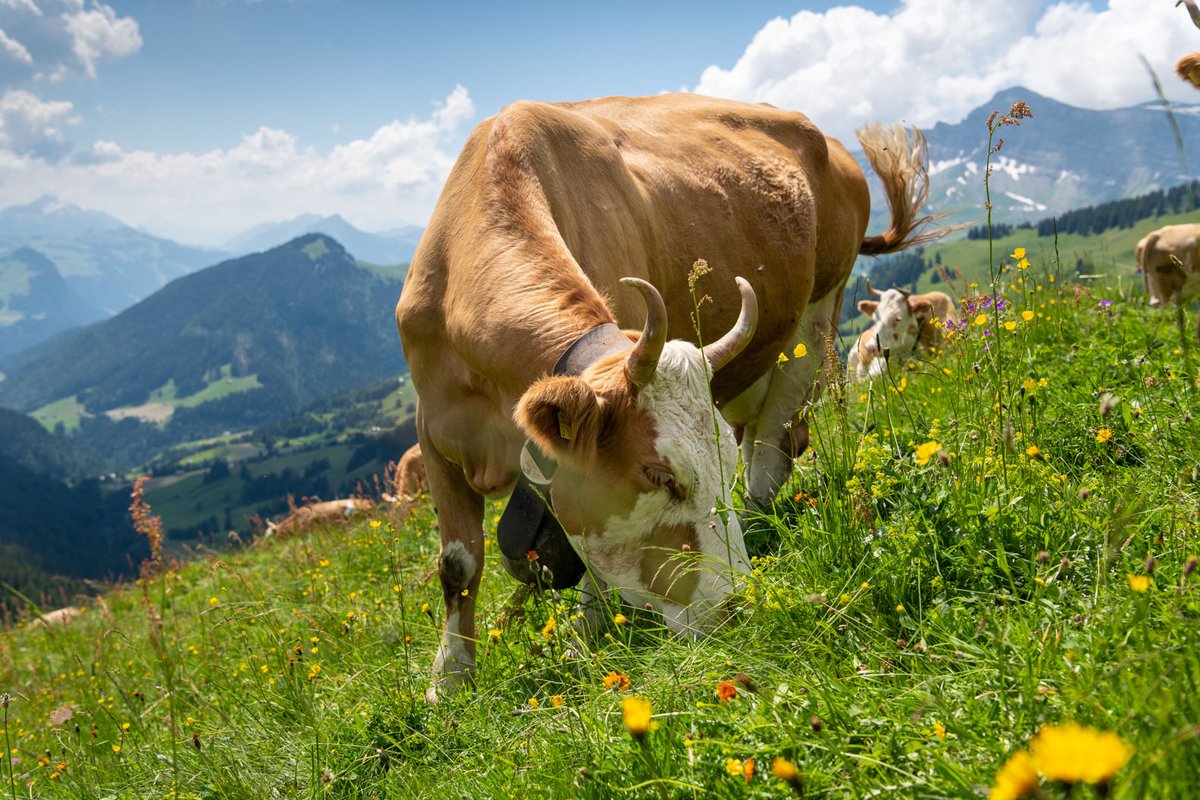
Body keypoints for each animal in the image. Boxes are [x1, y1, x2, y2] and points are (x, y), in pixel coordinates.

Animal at [395, 93, 940, 699]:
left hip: (815, 323)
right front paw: (450, 679)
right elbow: (459, 564)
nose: (737, 610)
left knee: (770, 453)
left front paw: (586, 639)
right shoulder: (433, 433)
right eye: (659, 476)